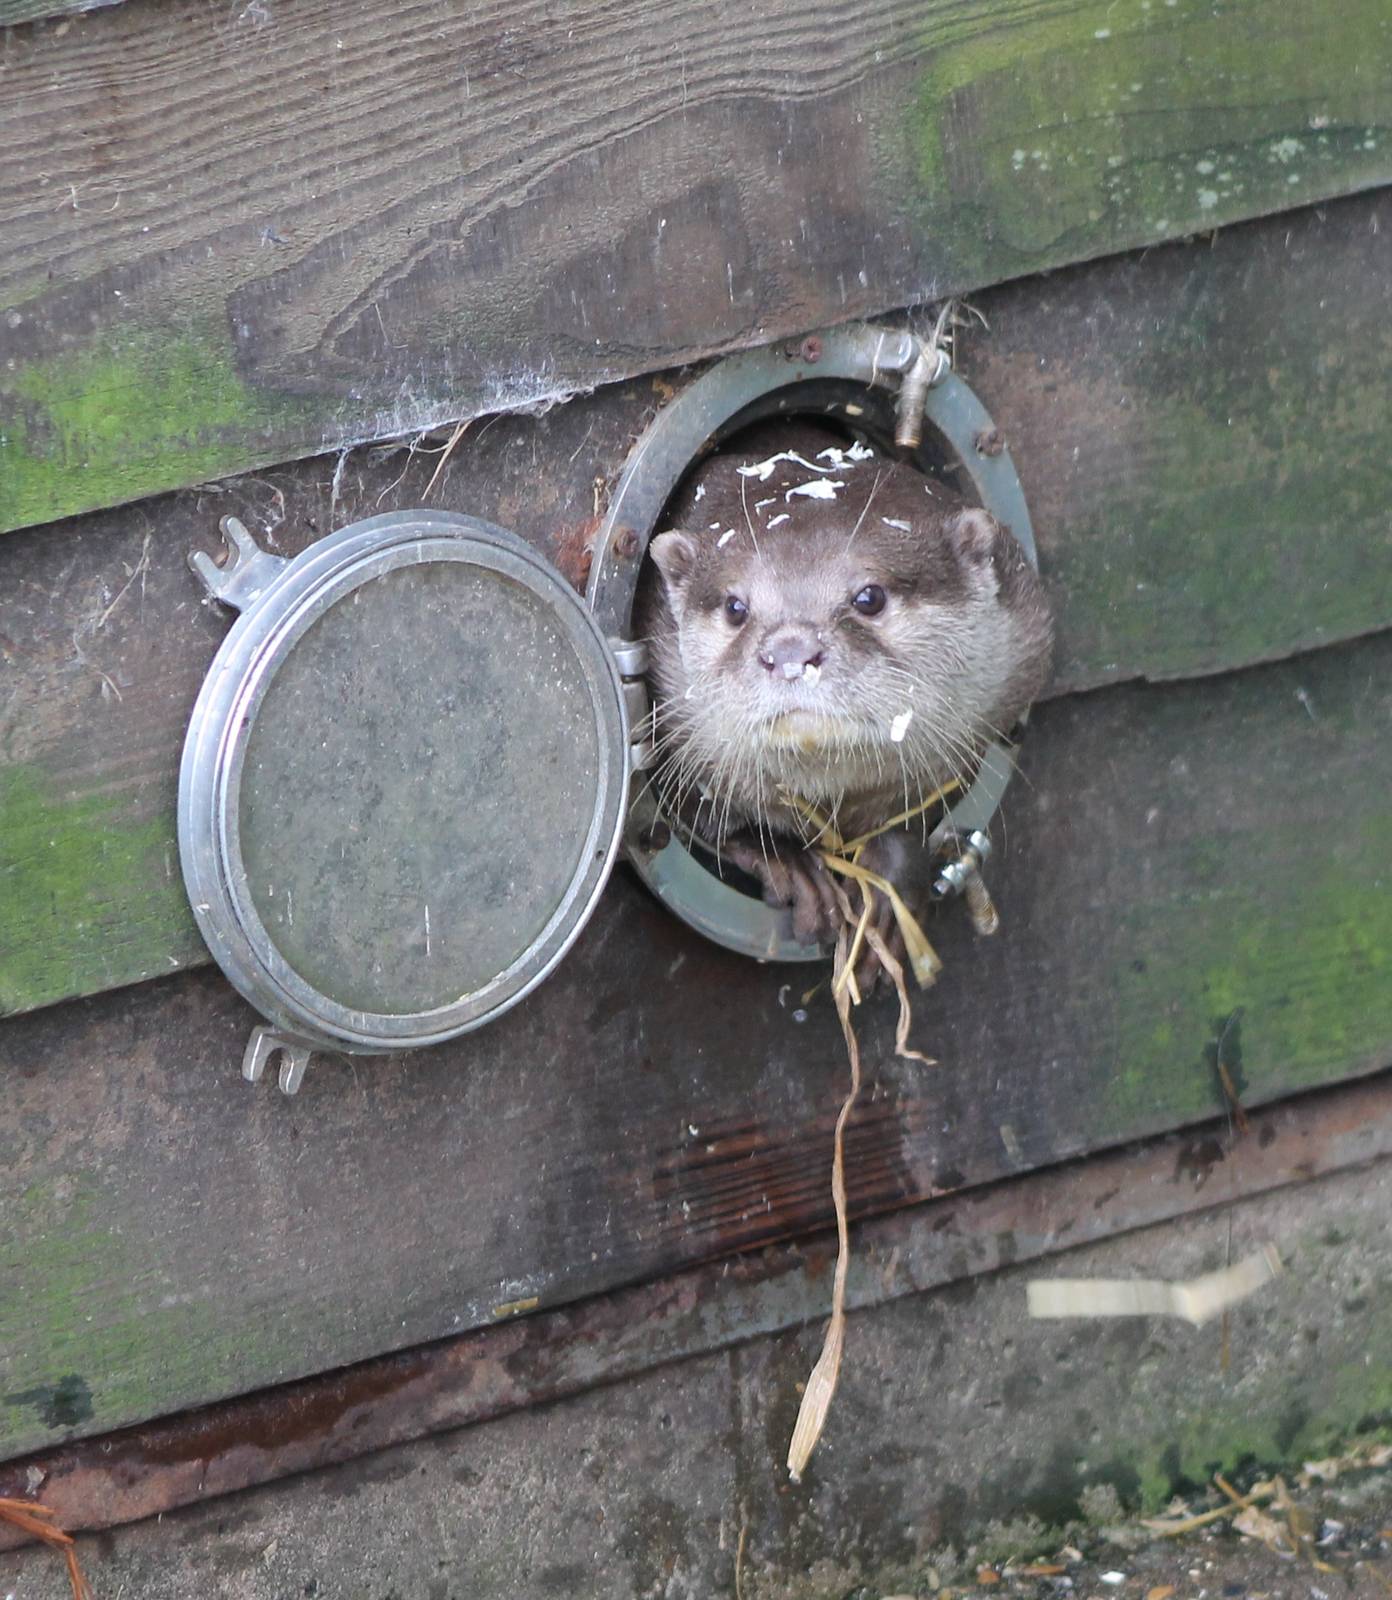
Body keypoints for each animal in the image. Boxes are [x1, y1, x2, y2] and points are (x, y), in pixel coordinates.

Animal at [635, 419, 1054, 974]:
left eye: (868, 597)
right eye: (734, 607)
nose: (791, 651)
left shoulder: (1012, 679)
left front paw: (890, 884)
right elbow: (700, 812)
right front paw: (787, 862)